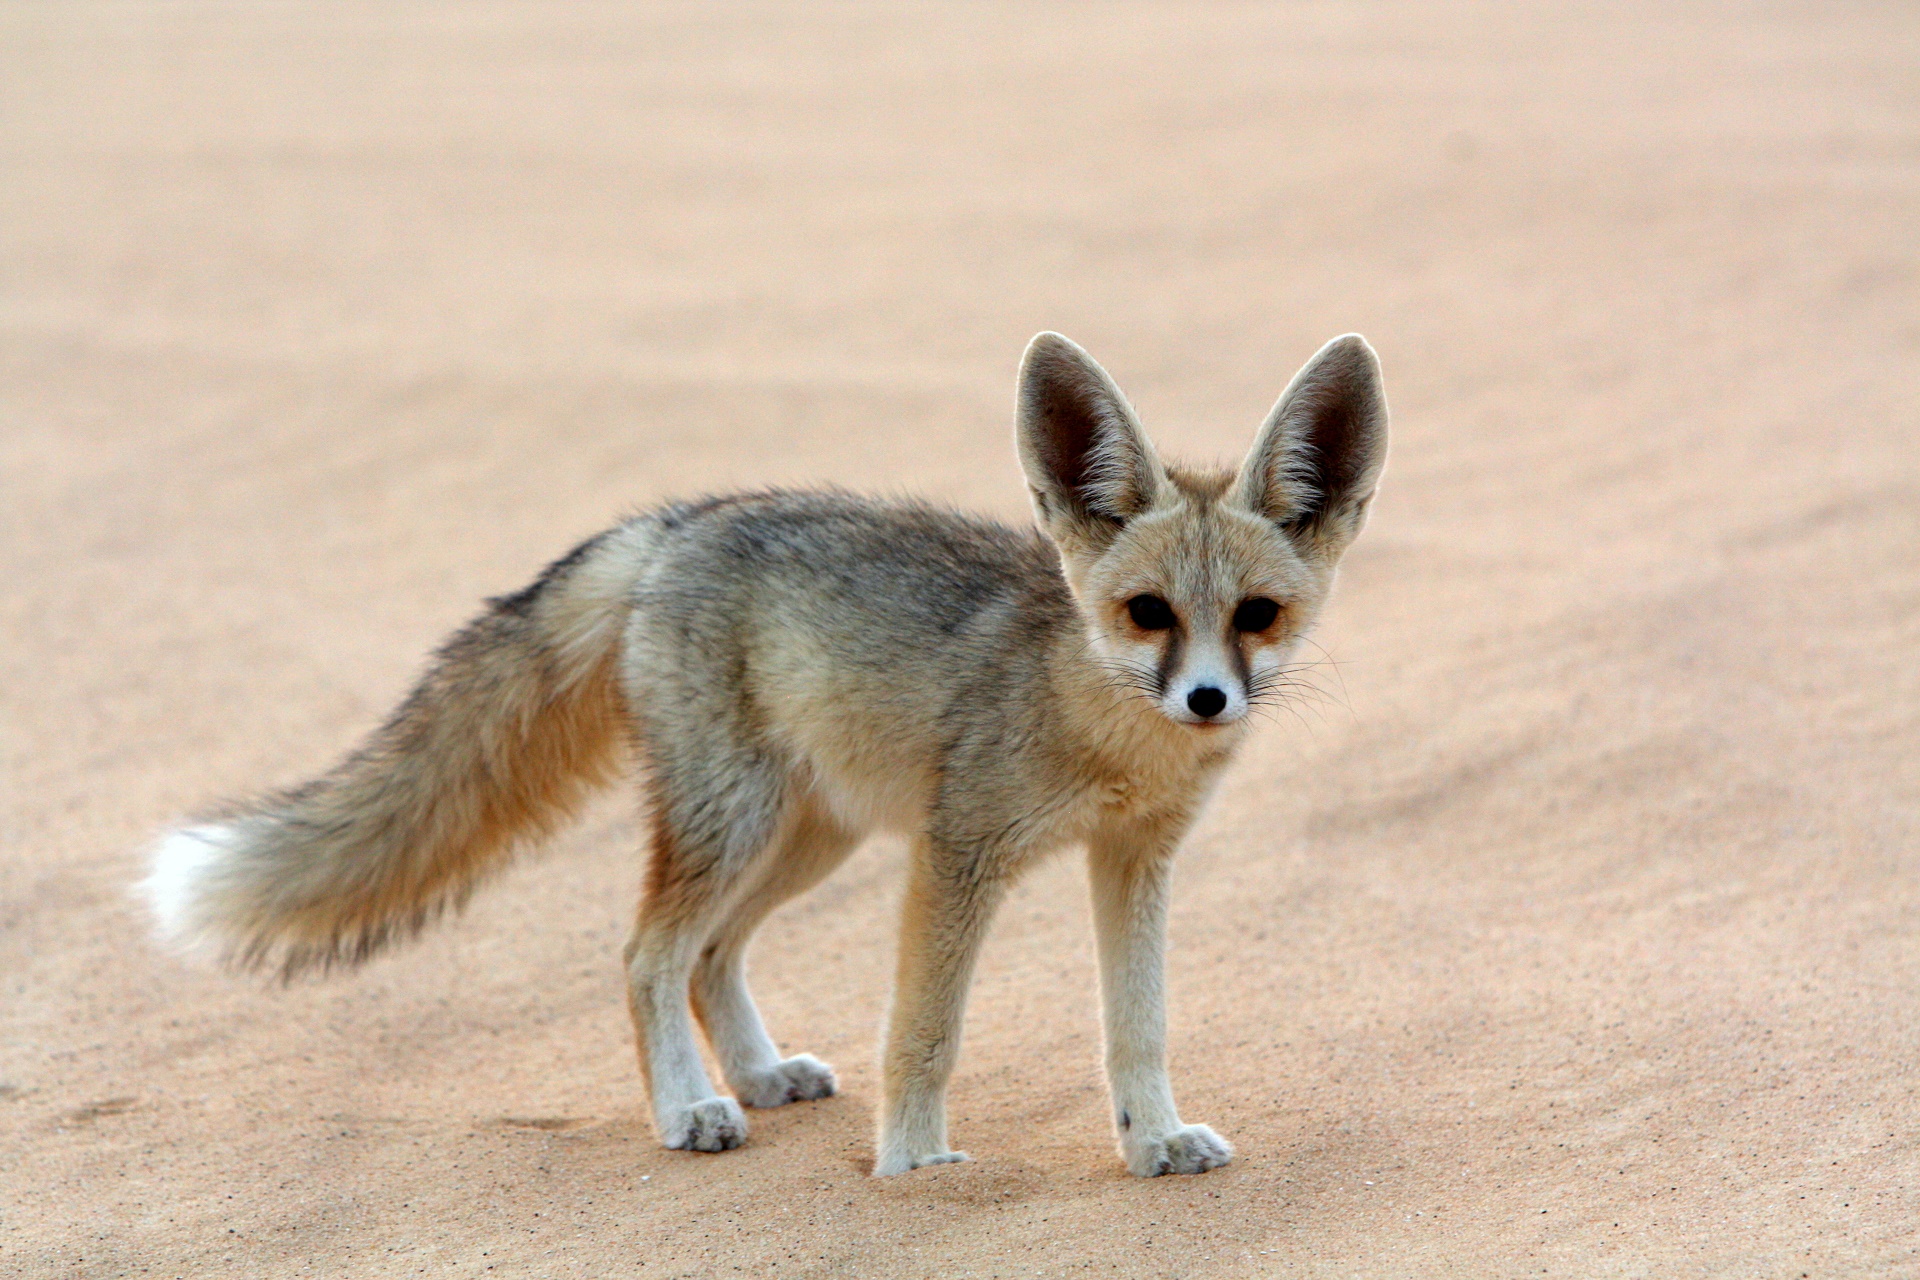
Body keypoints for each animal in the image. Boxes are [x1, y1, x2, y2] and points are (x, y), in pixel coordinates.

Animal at [142, 333, 1390, 1182]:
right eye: (1147, 614)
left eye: (1258, 616)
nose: (1208, 698)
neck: (1098, 724)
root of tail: (678, 520)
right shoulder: (959, 854)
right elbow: (924, 1031)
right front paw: (914, 1167)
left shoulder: (1134, 860)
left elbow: (1140, 1024)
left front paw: (1152, 1139)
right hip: (740, 821)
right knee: (648, 952)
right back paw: (691, 1109)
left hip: (810, 838)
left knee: (708, 955)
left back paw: (753, 1073)